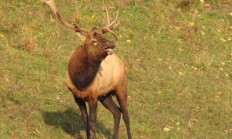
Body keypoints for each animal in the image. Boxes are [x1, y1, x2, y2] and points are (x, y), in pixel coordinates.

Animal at [41, 0, 131, 139]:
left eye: (102, 36)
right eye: (94, 40)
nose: (111, 44)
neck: (81, 81)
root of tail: (121, 62)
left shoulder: (93, 96)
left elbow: (93, 122)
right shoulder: (77, 95)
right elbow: (85, 119)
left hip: (121, 87)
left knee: (126, 114)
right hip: (105, 95)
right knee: (117, 111)